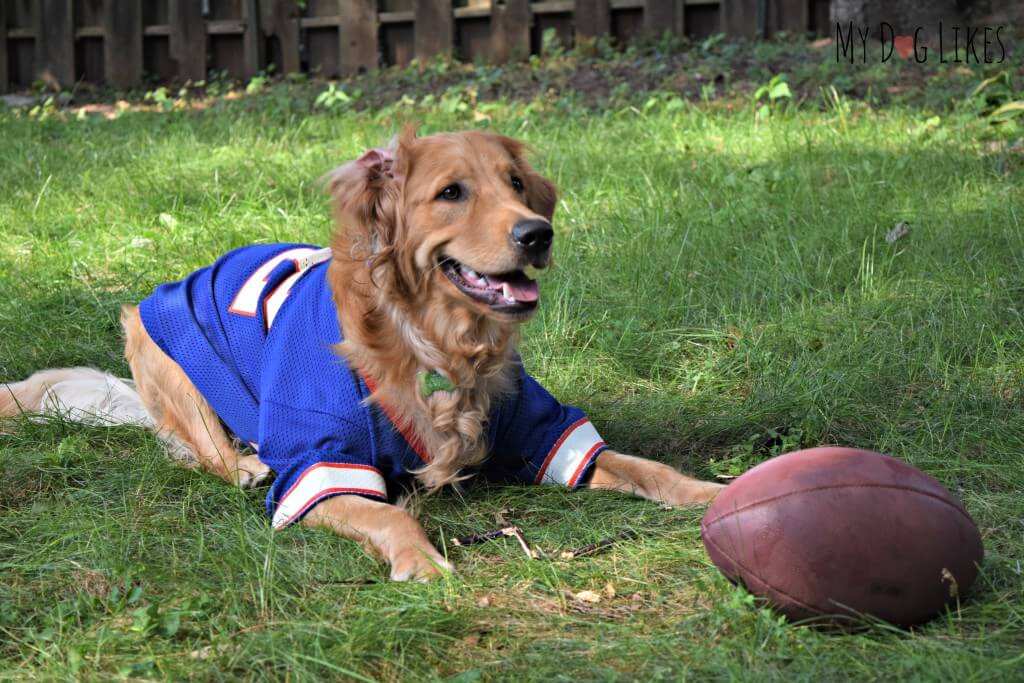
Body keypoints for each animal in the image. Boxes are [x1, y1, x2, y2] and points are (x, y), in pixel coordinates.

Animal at [0, 127, 720, 577]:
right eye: (451, 192)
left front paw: (709, 491)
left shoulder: (542, 428)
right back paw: (244, 461)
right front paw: (422, 561)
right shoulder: (320, 465)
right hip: (162, 349)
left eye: (516, 183)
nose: (537, 233)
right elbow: (393, 518)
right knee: (201, 451)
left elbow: (642, 465)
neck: (434, 341)